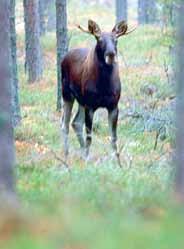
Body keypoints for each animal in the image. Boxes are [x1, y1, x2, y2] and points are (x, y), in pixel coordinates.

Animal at [61, 18, 134, 164]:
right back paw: (66, 156)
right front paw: (87, 161)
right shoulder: (90, 105)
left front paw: (118, 163)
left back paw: (81, 153)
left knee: (76, 122)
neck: (104, 86)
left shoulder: (114, 105)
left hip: (81, 101)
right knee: (65, 125)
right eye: (99, 39)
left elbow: (114, 138)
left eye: (116, 39)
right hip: (67, 94)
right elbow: (89, 136)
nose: (111, 54)